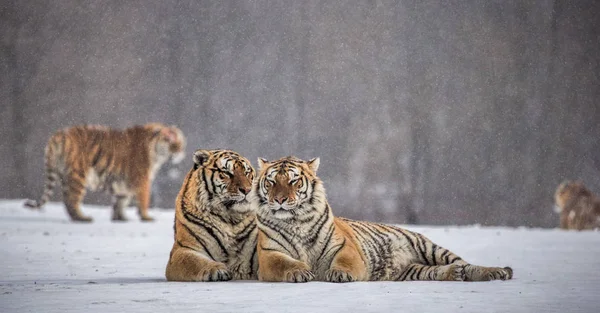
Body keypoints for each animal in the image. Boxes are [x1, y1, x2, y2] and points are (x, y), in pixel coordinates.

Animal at [24, 122, 185, 222]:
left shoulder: (123, 183)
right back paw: (83, 218)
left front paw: (120, 218)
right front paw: (146, 217)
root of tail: (59, 134)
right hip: (78, 175)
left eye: (182, 144)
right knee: (71, 200)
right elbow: (143, 200)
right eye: (174, 143)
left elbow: (120, 201)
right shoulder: (142, 179)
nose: (181, 153)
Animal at [164, 148, 258, 280]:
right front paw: (217, 270)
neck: (230, 218)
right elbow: (195, 262)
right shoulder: (182, 250)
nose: (247, 190)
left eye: (247, 172)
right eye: (227, 173)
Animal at [255, 157, 512, 282]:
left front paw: (339, 274)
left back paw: (497, 272)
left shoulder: (345, 247)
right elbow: (285, 263)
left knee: (465, 263)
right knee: (439, 271)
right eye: (271, 182)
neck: (295, 221)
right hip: (412, 270)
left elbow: (344, 261)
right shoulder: (269, 254)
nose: (279, 199)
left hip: (429, 247)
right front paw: (299, 272)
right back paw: (454, 274)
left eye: (293, 181)